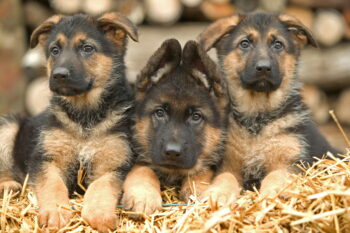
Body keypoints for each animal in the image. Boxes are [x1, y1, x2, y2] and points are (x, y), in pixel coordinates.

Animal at [123, 38, 230, 217]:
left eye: (196, 117)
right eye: (160, 113)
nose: (172, 152)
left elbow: (202, 171)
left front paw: (196, 190)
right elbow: (143, 170)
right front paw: (144, 197)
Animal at [198, 12, 338, 205]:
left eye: (278, 44)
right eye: (244, 43)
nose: (264, 68)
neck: (257, 117)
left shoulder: (290, 163)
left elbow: (276, 176)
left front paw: (273, 193)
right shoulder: (226, 164)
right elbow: (225, 177)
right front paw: (219, 193)